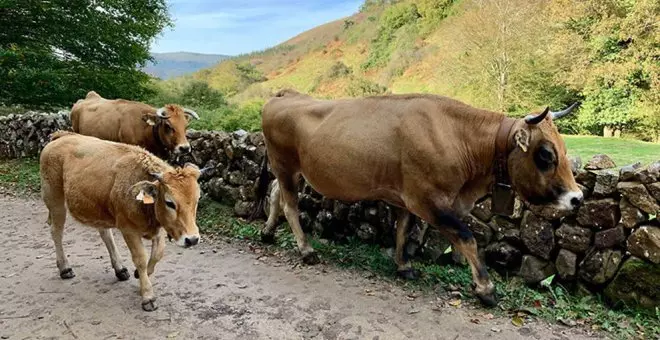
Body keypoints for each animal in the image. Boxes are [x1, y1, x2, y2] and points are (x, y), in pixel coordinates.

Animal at [39, 130, 209, 310]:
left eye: (197, 199)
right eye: (170, 202)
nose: (192, 239)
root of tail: (62, 135)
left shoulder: (158, 229)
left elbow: (158, 254)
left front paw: (140, 276)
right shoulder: (128, 229)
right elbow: (140, 259)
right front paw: (147, 295)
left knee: (105, 234)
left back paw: (120, 269)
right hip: (55, 200)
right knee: (56, 232)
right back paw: (65, 268)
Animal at [250, 88, 580, 306]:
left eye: (564, 149)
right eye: (545, 154)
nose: (577, 198)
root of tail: (286, 94)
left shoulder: (408, 198)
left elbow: (404, 231)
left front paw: (403, 266)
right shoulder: (429, 200)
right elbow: (467, 237)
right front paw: (486, 288)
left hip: (291, 170)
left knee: (276, 193)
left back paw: (267, 232)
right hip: (285, 164)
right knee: (290, 204)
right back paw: (306, 249)